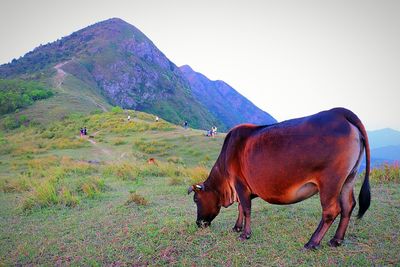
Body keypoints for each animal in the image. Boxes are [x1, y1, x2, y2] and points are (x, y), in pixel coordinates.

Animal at [189, 108, 370, 250]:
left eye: (196, 200)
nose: (198, 223)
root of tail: (339, 112)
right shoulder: (242, 189)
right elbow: (240, 207)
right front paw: (237, 227)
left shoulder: (240, 184)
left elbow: (246, 209)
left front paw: (245, 234)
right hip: (349, 178)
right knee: (348, 205)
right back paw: (336, 240)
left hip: (330, 181)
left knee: (331, 210)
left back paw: (312, 242)